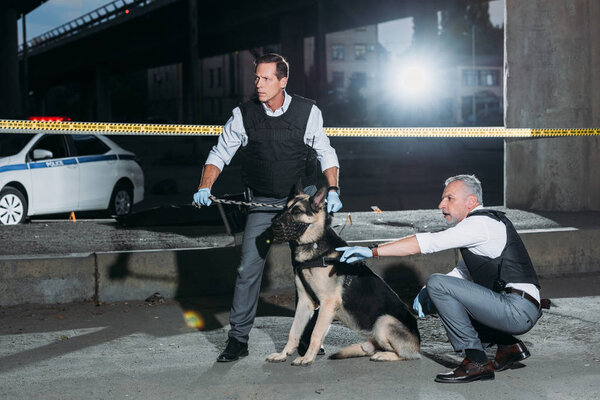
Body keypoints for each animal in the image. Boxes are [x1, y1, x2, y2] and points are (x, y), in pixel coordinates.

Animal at [270, 185, 420, 366]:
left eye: (297, 211)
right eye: (285, 208)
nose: (273, 225)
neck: (315, 245)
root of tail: (418, 343)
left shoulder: (327, 303)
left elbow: (315, 334)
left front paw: (307, 358)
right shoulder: (305, 302)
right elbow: (293, 332)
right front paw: (283, 354)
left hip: (383, 321)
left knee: (406, 355)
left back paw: (384, 355)